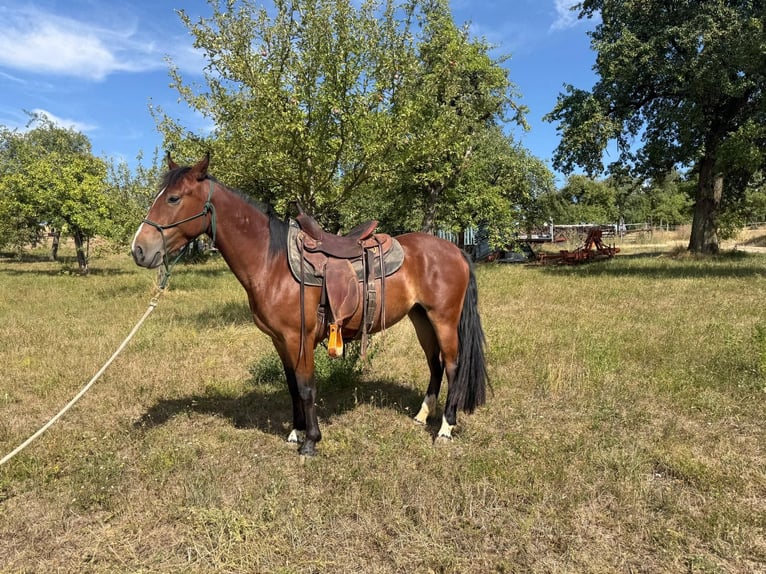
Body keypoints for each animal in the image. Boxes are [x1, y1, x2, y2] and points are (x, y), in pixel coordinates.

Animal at [131, 154, 488, 456]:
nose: (139, 250)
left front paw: (310, 442)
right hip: (421, 318)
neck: (271, 262)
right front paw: (295, 432)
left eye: (173, 198)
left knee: (453, 366)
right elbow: (292, 386)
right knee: (434, 364)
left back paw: (445, 427)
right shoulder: (279, 340)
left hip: (444, 320)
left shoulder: (298, 337)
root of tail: (456, 250)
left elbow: (306, 388)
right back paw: (422, 415)